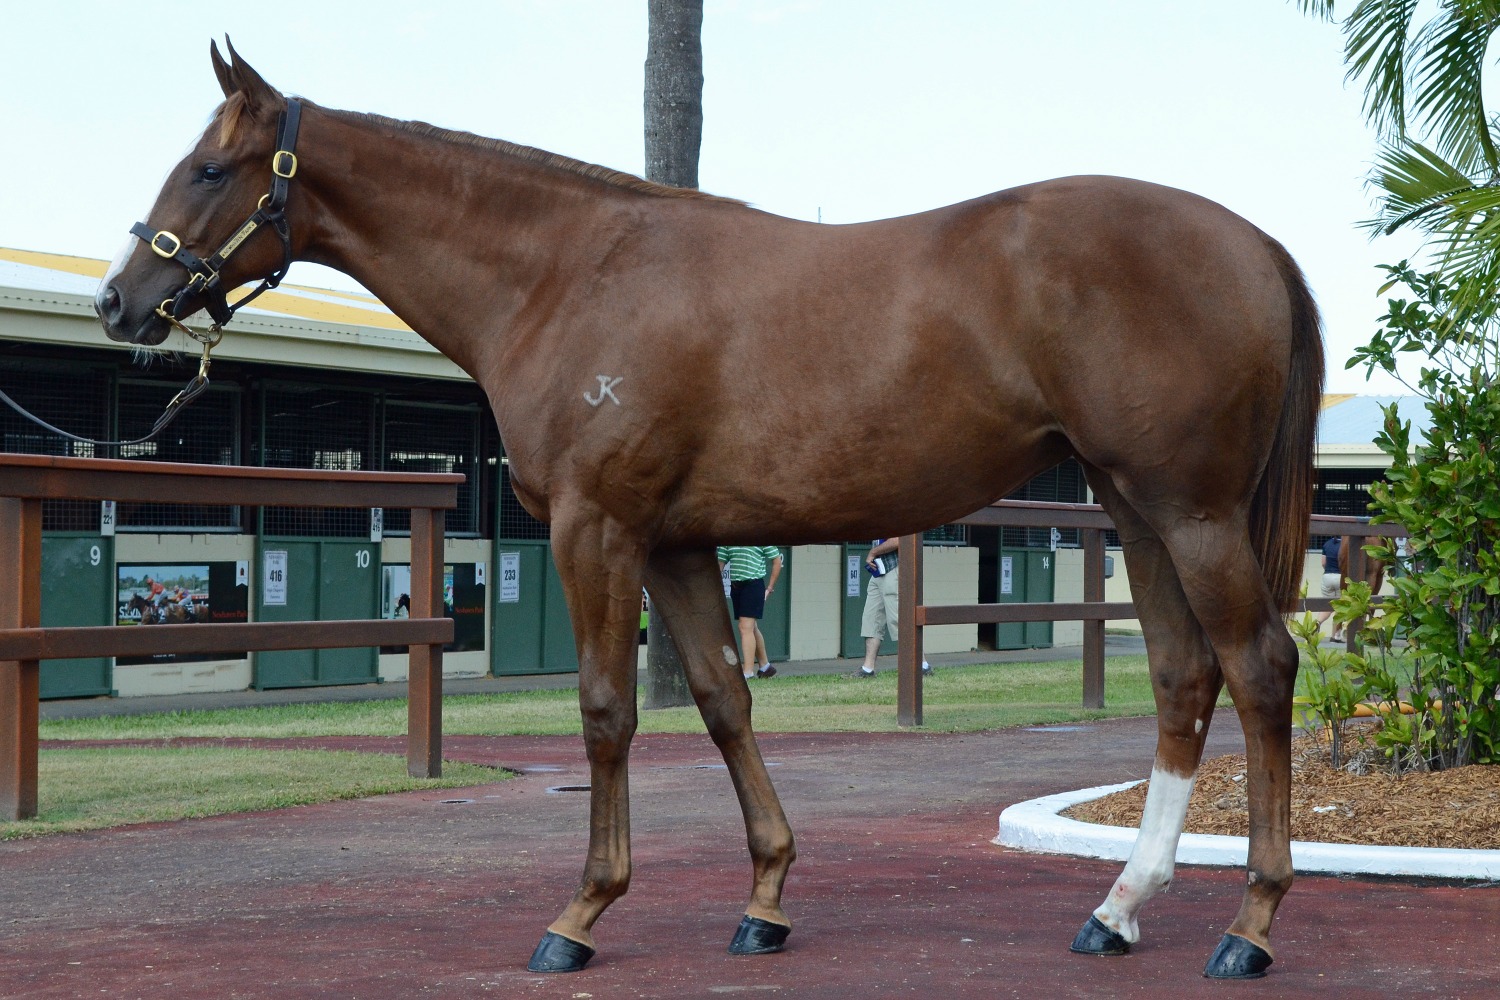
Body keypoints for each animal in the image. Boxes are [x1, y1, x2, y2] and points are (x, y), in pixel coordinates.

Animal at [90, 44, 1326, 977]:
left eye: (208, 168)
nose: (118, 303)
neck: (569, 275)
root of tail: (1256, 243)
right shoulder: (677, 544)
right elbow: (725, 703)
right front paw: (765, 898)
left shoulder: (597, 528)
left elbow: (606, 711)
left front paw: (581, 914)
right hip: (1138, 509)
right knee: (1183, 676)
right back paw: (1118, 908)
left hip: (1191, 511)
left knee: (1260, 667)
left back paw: (1249, 925)